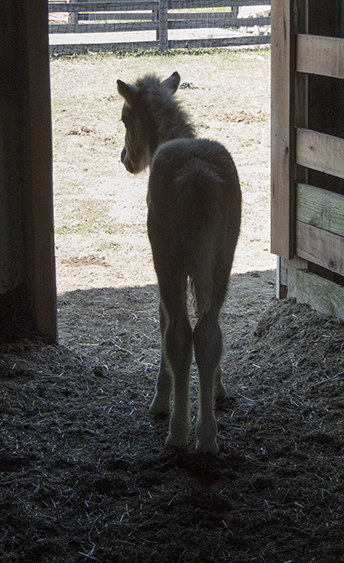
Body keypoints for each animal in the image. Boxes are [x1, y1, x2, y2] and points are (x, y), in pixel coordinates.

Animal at [117, 74, 241, 454]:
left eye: (124, 118)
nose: (125, 159)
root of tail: (197, 177)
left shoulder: (162, 265)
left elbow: (163, 323)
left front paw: (160, 400)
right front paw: (218, 388)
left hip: (168, 259)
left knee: (180, 334)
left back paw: (178, 432)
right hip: (222, 258)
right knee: (209, 333)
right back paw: (207, 436)